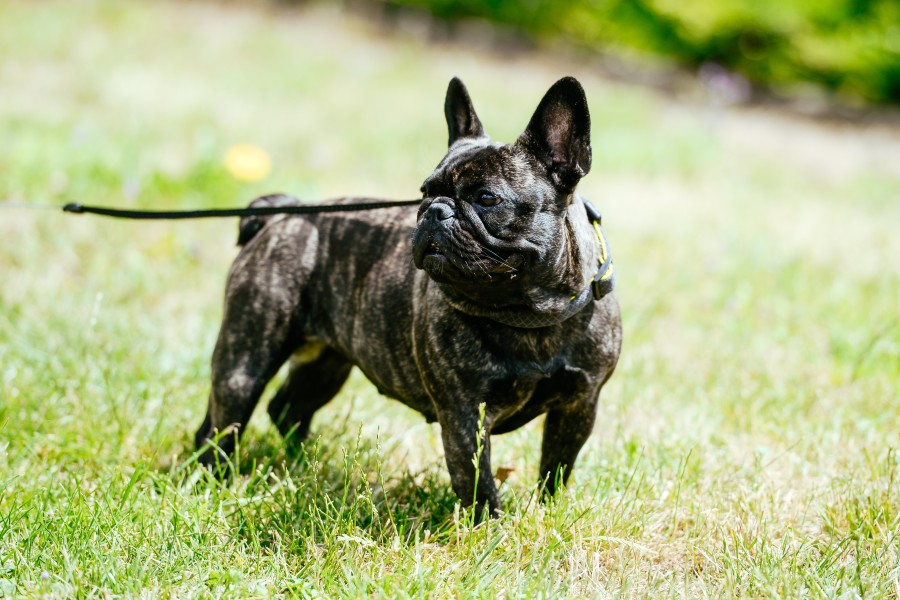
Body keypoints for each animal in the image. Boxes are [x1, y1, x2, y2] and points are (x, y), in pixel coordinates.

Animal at [194, 76, 624, 516]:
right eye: (424, 191)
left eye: (487, 198)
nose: (435, 209)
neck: (528, 313)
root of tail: (284, 213)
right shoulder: (464, 417)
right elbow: (478, 485)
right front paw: (492, 529)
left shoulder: (578, 406)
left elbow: (556, 468)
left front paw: (547, 512)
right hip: (246, 359)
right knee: (224, 424)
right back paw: (214, 480)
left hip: (327, 363)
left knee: (287, 408)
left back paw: (300, 465)